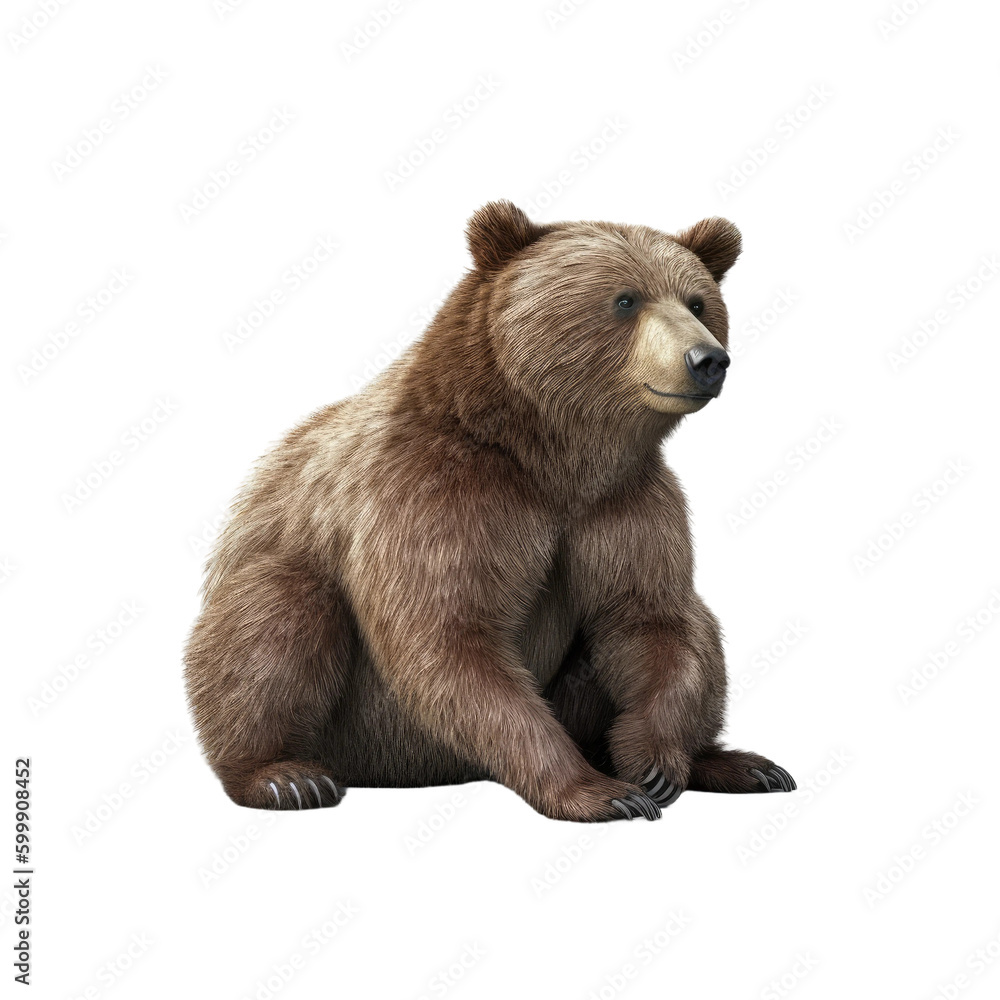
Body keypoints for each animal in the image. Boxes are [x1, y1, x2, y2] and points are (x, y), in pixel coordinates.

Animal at [183, 200, 795, 822]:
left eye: (697, 302)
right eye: (625, 299)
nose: (707, 359)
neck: (550, 457)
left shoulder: (624, 504)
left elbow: (652, 620)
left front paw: (655, 764)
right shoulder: (434, 495)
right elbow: (452, 638)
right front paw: (601, 792)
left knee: (703, 628)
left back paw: (741, 765)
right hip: (344, 698)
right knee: (277, 615)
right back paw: (284, 776)